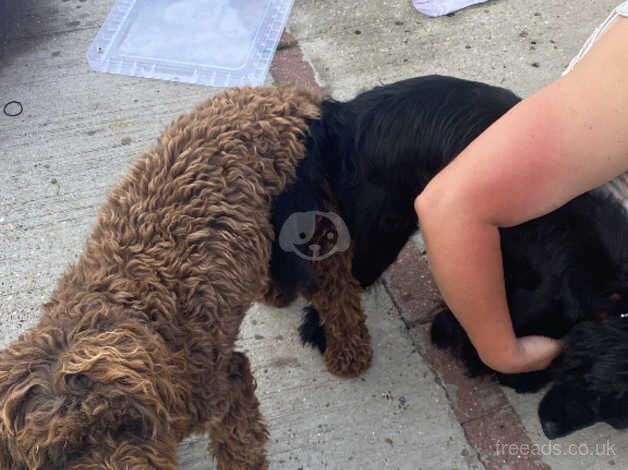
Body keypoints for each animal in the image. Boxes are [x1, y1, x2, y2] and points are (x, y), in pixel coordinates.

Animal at [270, 75, 628, 438]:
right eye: (593, 389)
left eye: (615, 418)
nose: (550, 430)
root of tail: (345, 114)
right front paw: (519, 374)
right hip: (377, 236)